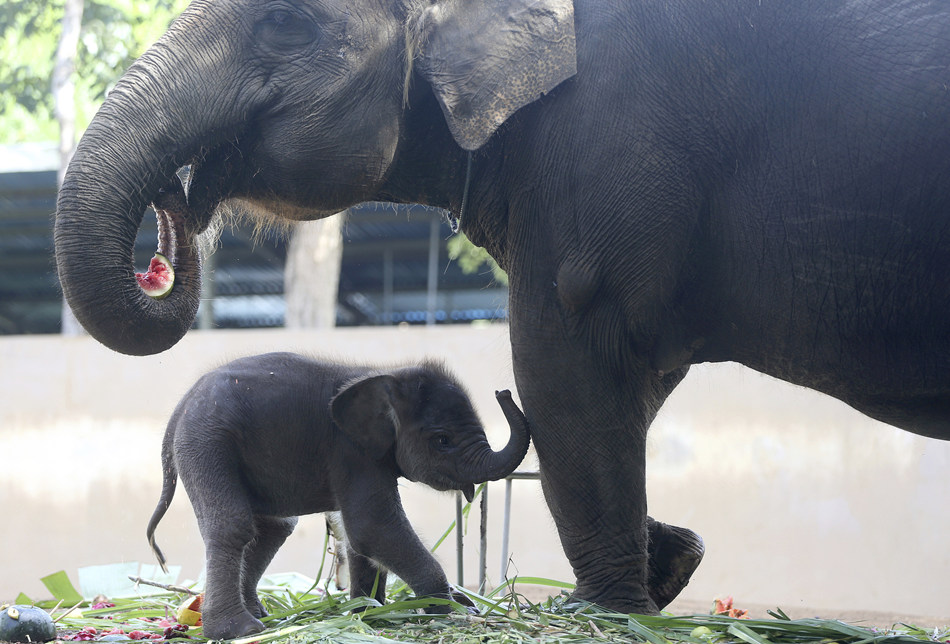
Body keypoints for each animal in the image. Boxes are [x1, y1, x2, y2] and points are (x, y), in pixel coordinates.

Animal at [146, 352, 532, 640]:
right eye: (442, 440)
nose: (503, 392)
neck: (383, 374)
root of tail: (179, 409)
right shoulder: (352, 453)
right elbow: (373, 526)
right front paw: (457, 608)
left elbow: (358, 535)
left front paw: (369, 612)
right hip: (206, 442)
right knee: (234, 526)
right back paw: (240, 630)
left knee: (274, 528)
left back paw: (261, 616)